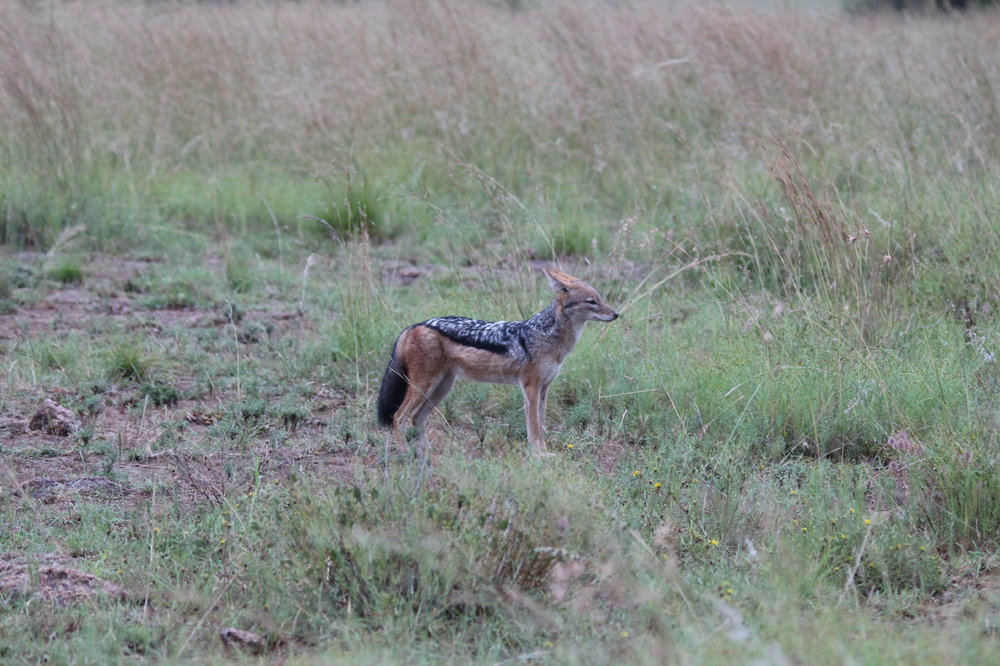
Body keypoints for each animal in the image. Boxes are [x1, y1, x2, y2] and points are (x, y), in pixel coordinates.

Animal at [376, 268, 620, 457]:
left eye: (600, 298)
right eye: (592, 302)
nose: (616, 314)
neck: (547, 336)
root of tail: (414, 325)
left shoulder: (544, 389)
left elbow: (541, 425)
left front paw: (544, 453)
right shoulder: (530, 387)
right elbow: (534, 428)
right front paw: (538, 456)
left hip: (440, 388)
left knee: (417, 419)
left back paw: (424, 455)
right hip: (424, 387)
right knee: (399, 417)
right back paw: (406, 454)